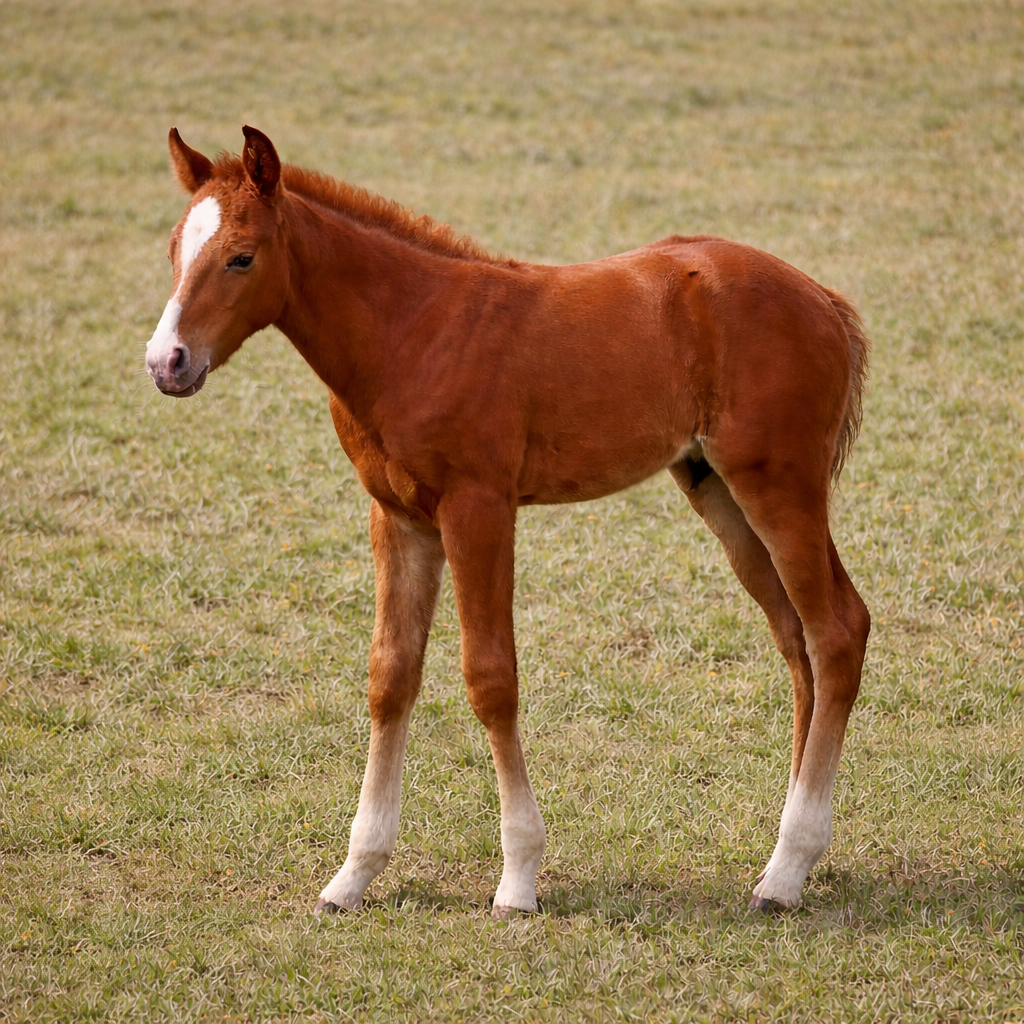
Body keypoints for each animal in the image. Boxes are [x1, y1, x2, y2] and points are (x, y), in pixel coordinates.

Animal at [146, 126, 871, 917]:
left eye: (241, 257)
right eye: (175, 249)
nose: (166, 362)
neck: (412, 330)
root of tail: (825, 300)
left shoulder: (478, 508)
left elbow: (491, 677)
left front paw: (519, 878)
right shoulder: (398, 518)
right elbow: (390, 675)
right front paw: (353, 875)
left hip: (778, 487)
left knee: (837, 631)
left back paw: (786, 869)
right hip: (719, 491)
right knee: (798, 640)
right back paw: (794, 858)